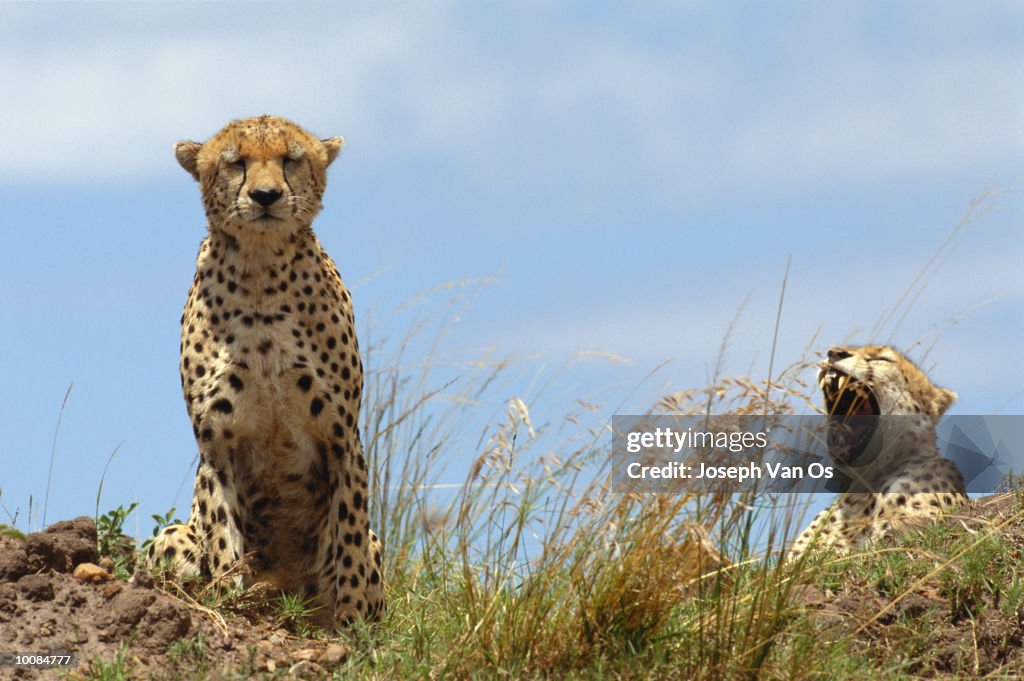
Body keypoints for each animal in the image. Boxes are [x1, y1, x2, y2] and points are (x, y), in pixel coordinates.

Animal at [151, 114, 387, 622]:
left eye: (290, 160)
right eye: (236, 162)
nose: (265, 196)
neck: (261, 268)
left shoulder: (343, 436)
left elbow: (351, 539)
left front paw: (353, 622)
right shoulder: (216, 442)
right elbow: (222, 532)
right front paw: (228, 599)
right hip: (170, 534)